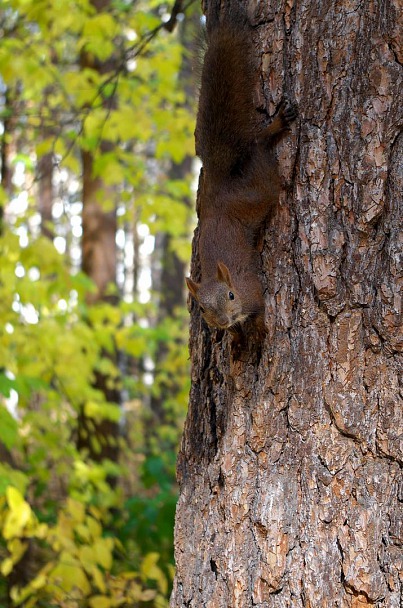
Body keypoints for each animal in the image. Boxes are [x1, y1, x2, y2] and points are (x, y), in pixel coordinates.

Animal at [186, 0, 296, 338]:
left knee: (258, 147)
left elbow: (260, 311)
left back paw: (274, 126)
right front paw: (236, 337)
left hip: (257, 192)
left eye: (232, 295)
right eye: (202, 309)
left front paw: (258, 332)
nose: (223, 321)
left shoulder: (252, 289)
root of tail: (218, 189)